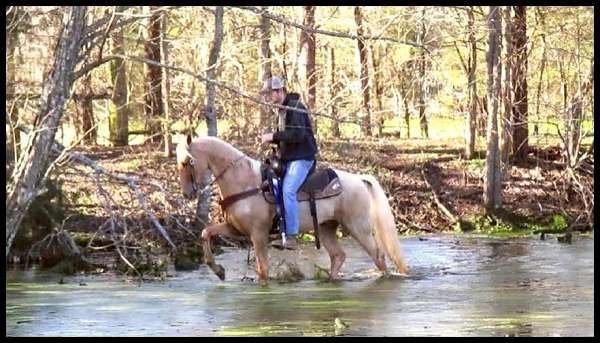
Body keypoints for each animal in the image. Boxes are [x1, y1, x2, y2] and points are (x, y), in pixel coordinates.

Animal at [173, 136, 408, 284]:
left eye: (187, 162)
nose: (187, 193)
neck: (244, 181)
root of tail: (359, 179)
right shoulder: (235, 229)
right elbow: (206, 233)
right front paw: (219, 271)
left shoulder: (258, 234)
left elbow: (262, 270)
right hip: (326, 227)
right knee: (338, 256)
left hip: (358, 228)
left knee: (378, 256)